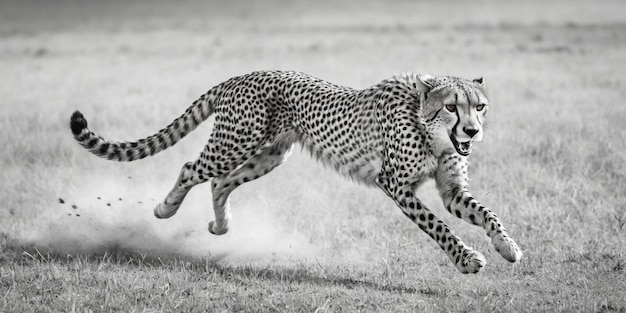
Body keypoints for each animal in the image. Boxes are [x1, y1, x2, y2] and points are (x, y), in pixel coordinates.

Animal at [70, 69, 520, 272]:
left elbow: (487, 213)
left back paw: (221, 226)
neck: (430, 129)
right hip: (235, 143)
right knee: (190, 167)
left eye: (479, 106)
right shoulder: (394, 183)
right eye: (452, 107)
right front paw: (467, 259)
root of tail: (240, 76)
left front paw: (507, 247)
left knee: (220, 182)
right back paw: (164, 210)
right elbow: (437, 226)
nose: (473, 131)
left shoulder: (451, 190)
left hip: (270, 155)